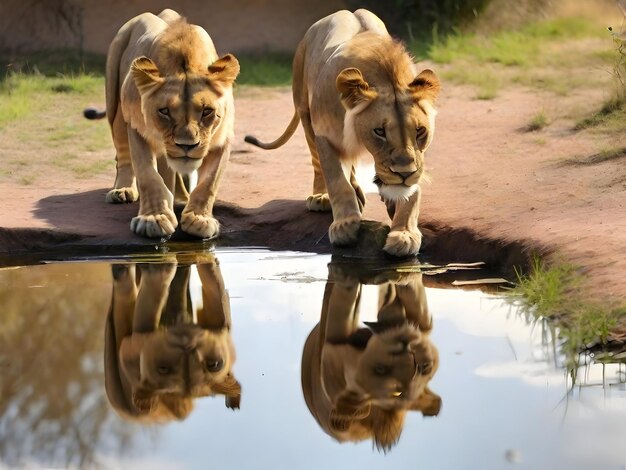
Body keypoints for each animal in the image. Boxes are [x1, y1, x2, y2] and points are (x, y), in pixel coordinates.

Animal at [89, 8, 240, 239]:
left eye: (206, 111)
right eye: (164, 111)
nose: (187, 145)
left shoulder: (223, 138)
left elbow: (209, 183)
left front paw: (199, 219)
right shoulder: (137, 128)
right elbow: (148, 175)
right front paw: (154, 218)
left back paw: (180, 199)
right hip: (115, 103)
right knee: (123, 155)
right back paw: (122, 191)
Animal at [244, 8, 438, 258]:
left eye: (420, 131)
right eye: (379, 131)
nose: (404, 173)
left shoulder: (417, 159)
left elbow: (412, 194)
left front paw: (405, 233)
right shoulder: (327, 137)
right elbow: (337, 181)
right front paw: (345, 225)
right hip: (305, 111)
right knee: (318, 163)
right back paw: (321, 197)